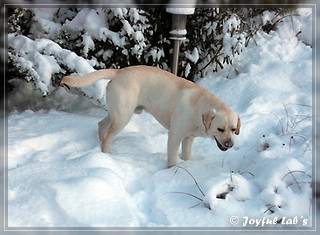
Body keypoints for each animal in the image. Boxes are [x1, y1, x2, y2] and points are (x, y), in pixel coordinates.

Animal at [61, 64, 240, 167]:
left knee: (101, 124)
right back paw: (107, 156)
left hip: (117, 113)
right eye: (220, 129)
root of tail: (119, 71)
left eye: (233, 129)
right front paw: (174, 170)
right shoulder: (175, 136)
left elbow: (187, 156)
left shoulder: (188, 139)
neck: (198, 106)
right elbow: (173, 160)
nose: (230, 144)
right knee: (108, 136)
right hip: (123, 116)